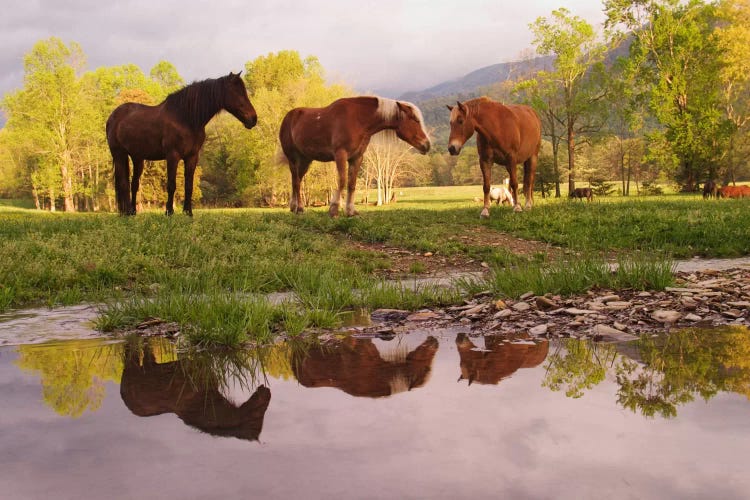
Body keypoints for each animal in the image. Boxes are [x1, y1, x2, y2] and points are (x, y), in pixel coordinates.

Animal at [106, 72, 258, 215]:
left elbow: (188, 185)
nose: (253, 119)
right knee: (123, 183)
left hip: (137, 158)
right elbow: (171, 185)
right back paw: (125, 213)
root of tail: (114, 116)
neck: (186, 118)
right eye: (237, 92)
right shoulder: (172, 156)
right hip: (119, 154)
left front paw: (188, 212)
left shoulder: (192, 157)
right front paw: (169, 211)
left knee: (134, 184)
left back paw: (132, 211)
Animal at [280, 95, 432, 217]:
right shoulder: (340, 155)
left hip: (306, 160)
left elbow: (352, 184)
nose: (427, 145)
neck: (358, 119)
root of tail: (289, 116)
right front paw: (334, 210)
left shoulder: (357, 158)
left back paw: (294, 207)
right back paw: (299, 209)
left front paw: (350, 211)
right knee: (296, 181)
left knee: (297, 180)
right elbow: (342, 180)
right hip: (292, 158)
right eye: (414, 119)